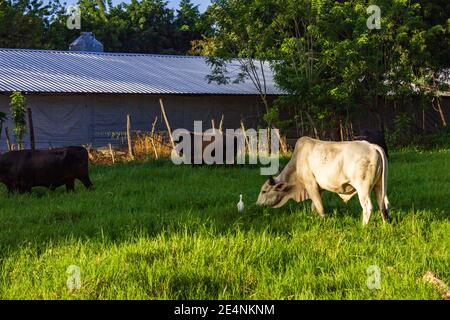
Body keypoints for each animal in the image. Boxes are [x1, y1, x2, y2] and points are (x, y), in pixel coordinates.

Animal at [256, 136, 390, 224]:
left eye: (264, 191)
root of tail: (372, 146)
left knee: (368, 207)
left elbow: (319, 207)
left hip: (363, 188)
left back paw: (363, 227)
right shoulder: (319, 189)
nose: (257, 204)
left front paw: (323, 221)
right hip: (379, 186)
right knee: (382, 205)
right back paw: (385, 225)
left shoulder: (310, 184)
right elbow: (314, 206)